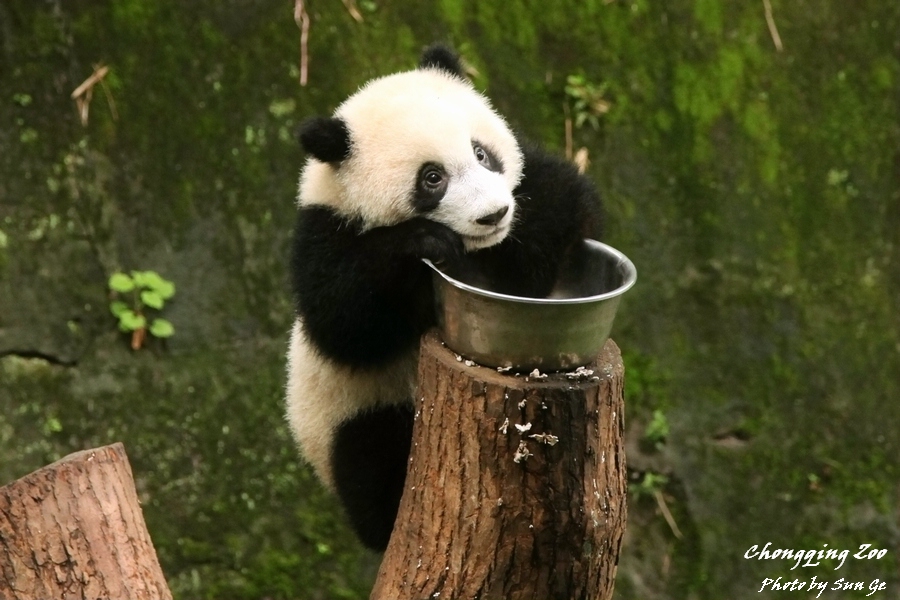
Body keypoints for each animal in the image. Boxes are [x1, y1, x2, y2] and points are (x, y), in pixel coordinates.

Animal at [285, 45, 601, 551]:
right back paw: (385, 517)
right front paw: (422, 243)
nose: (494, 214)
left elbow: (566, 203)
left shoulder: (538, 179)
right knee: (371, 456)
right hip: (350, 413)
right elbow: (344, 326)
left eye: (481, 153)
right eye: (431, 178)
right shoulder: (323, 232)